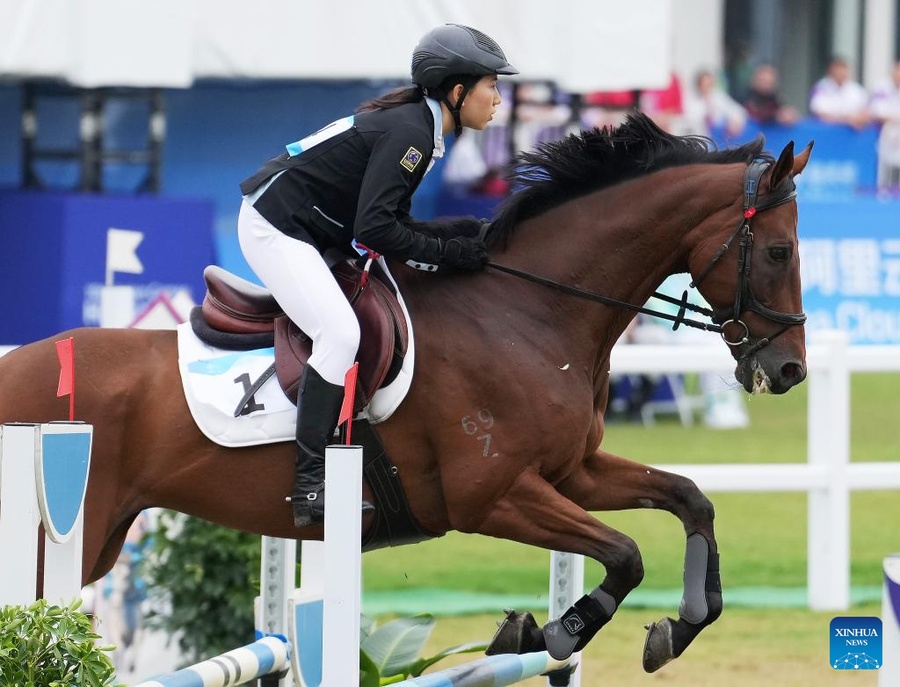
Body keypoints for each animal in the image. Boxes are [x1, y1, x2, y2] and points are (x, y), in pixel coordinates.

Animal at [0, 115, 812, 676]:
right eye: (779, 251)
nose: (790, 371)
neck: (529, 311)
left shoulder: (570, 473)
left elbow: (689, 498)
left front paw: (681, 624)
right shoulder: (494, 495)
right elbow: (626, 552)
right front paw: (546, 631)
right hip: (68, 535)